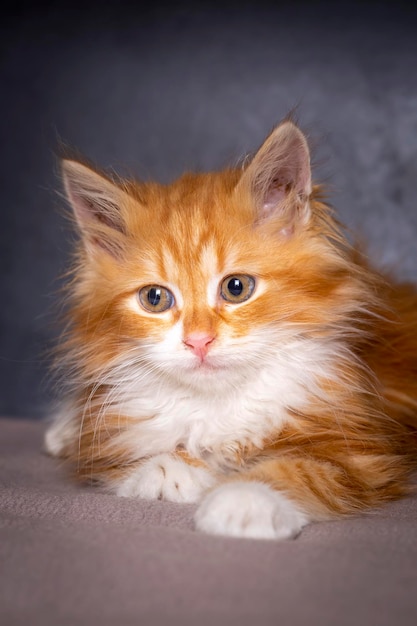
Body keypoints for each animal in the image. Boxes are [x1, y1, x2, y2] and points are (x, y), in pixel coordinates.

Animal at [44, 119, 416, 540]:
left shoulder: (364, 453)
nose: (198, 341)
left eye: (236, 288)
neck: (219, 404)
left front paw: (243, 499)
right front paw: (166, 469)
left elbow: (302, 470)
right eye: (155, 298)